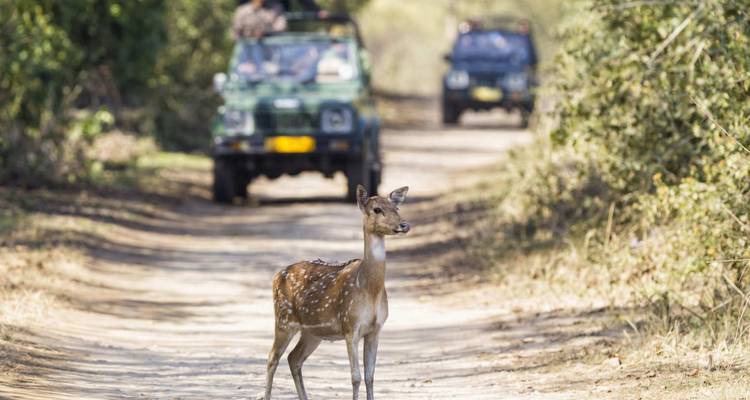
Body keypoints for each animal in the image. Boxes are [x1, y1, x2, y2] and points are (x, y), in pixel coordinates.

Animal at [262, 185, 410, 400]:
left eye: (396, 208)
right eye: (377, 209)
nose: (404, 224)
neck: (370, 290)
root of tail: (276, 276)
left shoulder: (375, 329)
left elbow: (370, 376)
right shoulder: (350, 325)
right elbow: (356, 376)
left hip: (312, 332)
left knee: (293, 358)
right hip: (284, 319)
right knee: (272, 357)